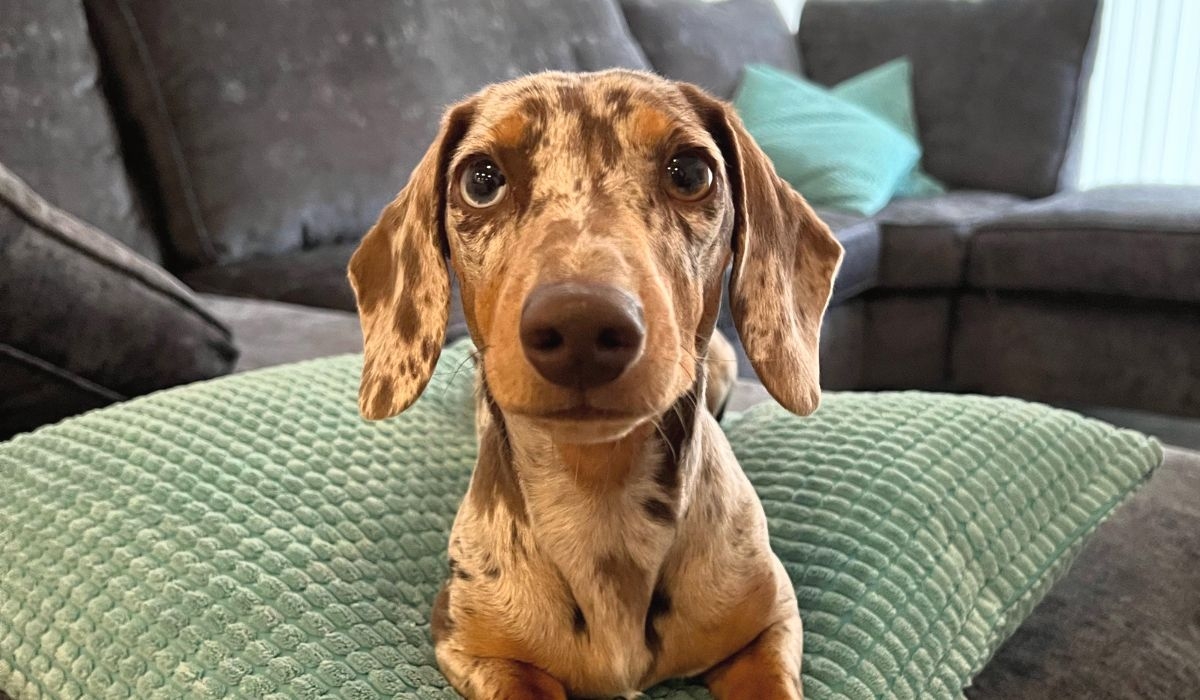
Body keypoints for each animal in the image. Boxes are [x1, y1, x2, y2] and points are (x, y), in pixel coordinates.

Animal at [348, 67, 844, 700]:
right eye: (480, 179)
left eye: (691, 172)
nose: (580, 323)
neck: (600, 493)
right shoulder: (471, 644)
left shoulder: (771, 622)